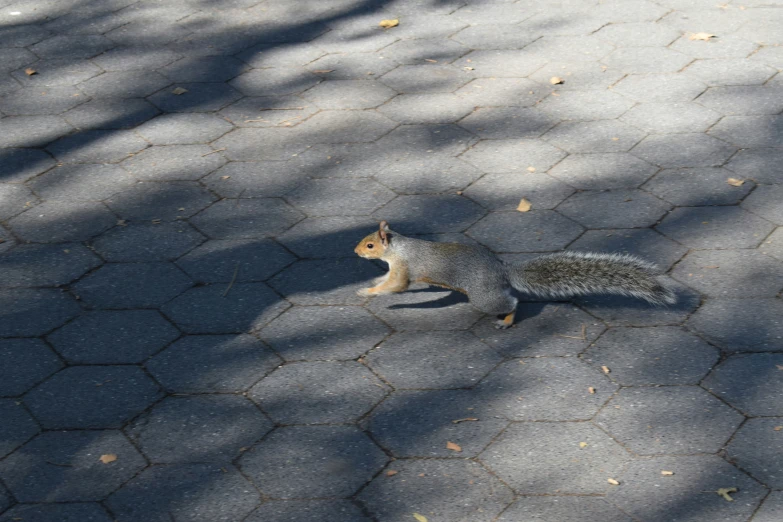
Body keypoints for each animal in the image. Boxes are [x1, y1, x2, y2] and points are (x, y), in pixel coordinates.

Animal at [356, 220, 680, 330]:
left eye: (370, 245)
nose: (356, 251)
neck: (398, 247)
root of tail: (502, 271)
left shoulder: (404, 268)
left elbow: (397, 287)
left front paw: (366, 292)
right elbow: (387, 282)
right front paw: (371, 282)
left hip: (483, 297)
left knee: (512, 303)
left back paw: (507, 320)